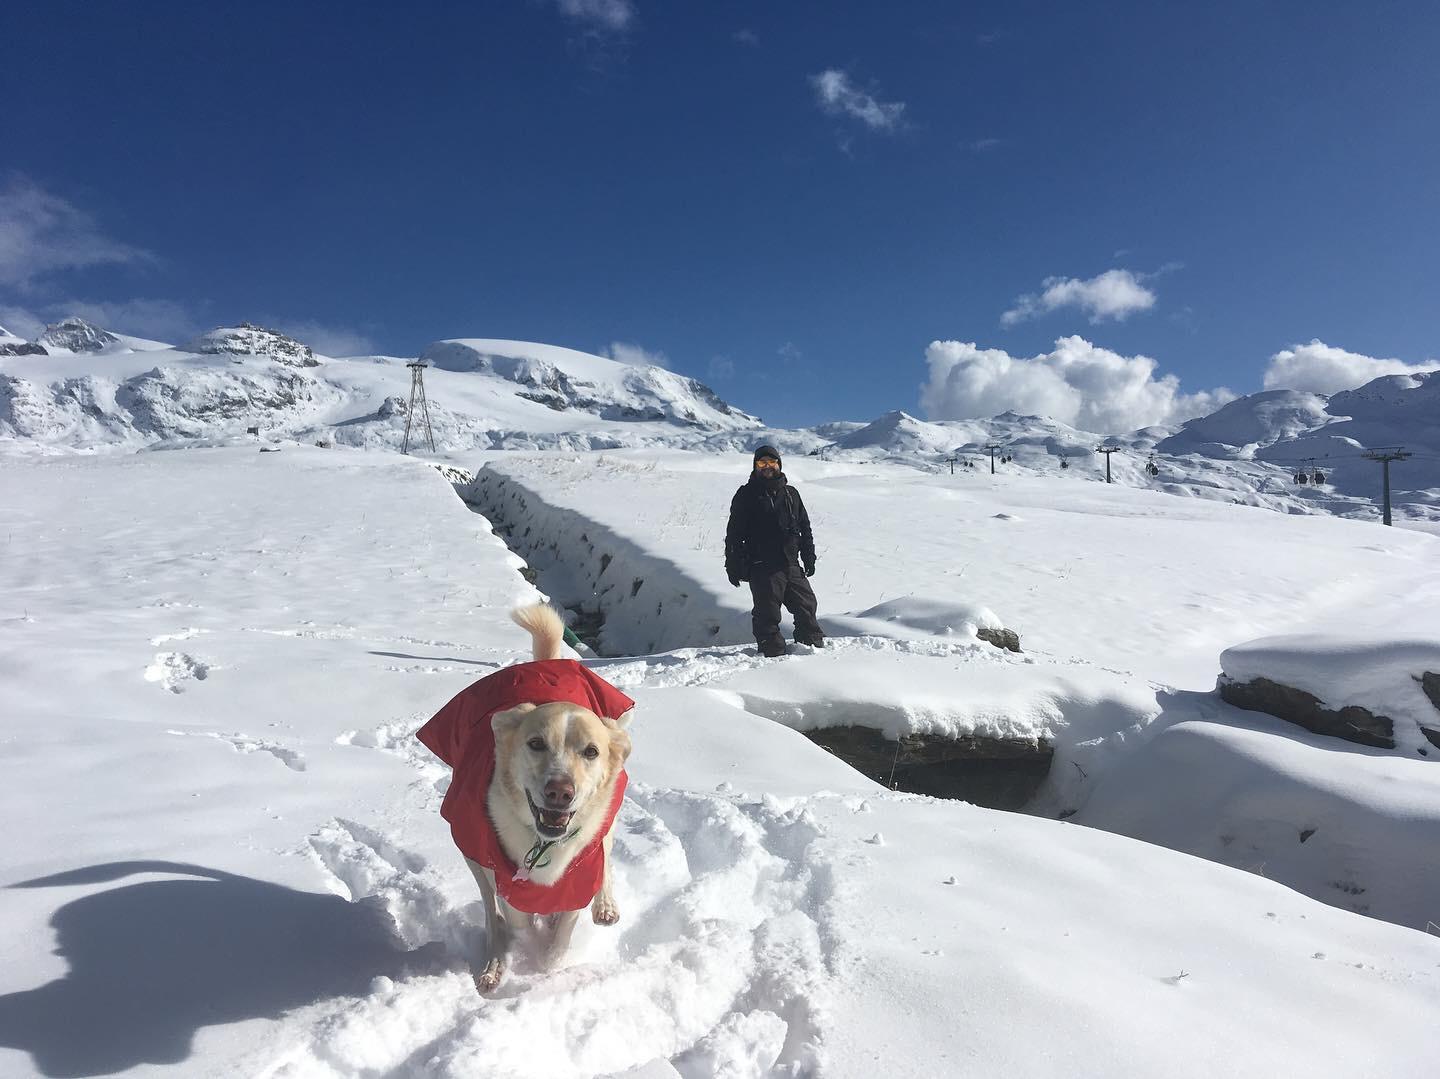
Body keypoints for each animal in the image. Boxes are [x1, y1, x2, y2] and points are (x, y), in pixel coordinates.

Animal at [420, 602, 639, 991]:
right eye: (536, 744)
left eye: (591, 751)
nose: (560, 791)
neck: (544, 845)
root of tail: (547, 664)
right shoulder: (496, 868)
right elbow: (516, 916)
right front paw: (527, 936)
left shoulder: (579, 873)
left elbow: (559, 942)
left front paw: (551, 943)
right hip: (471, 853)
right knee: (491, 913)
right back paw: (494, 962)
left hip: (609, 818)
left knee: (606, 857)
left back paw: (605, 906)